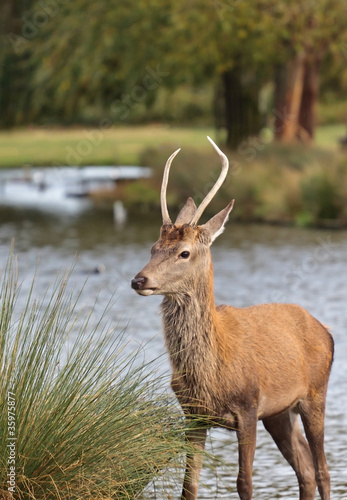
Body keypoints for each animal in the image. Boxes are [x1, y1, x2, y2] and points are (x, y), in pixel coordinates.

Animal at [130, 137, 334, 500]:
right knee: (306, 469)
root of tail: (325, 330)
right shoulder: (193, 414)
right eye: (153, 247)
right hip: (280, 412)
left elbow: (245, 482)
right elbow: (189, 486)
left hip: (315, 392)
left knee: (323, 470)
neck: (212, 375)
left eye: (184, 252)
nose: (139, 280)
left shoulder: (248, 406)